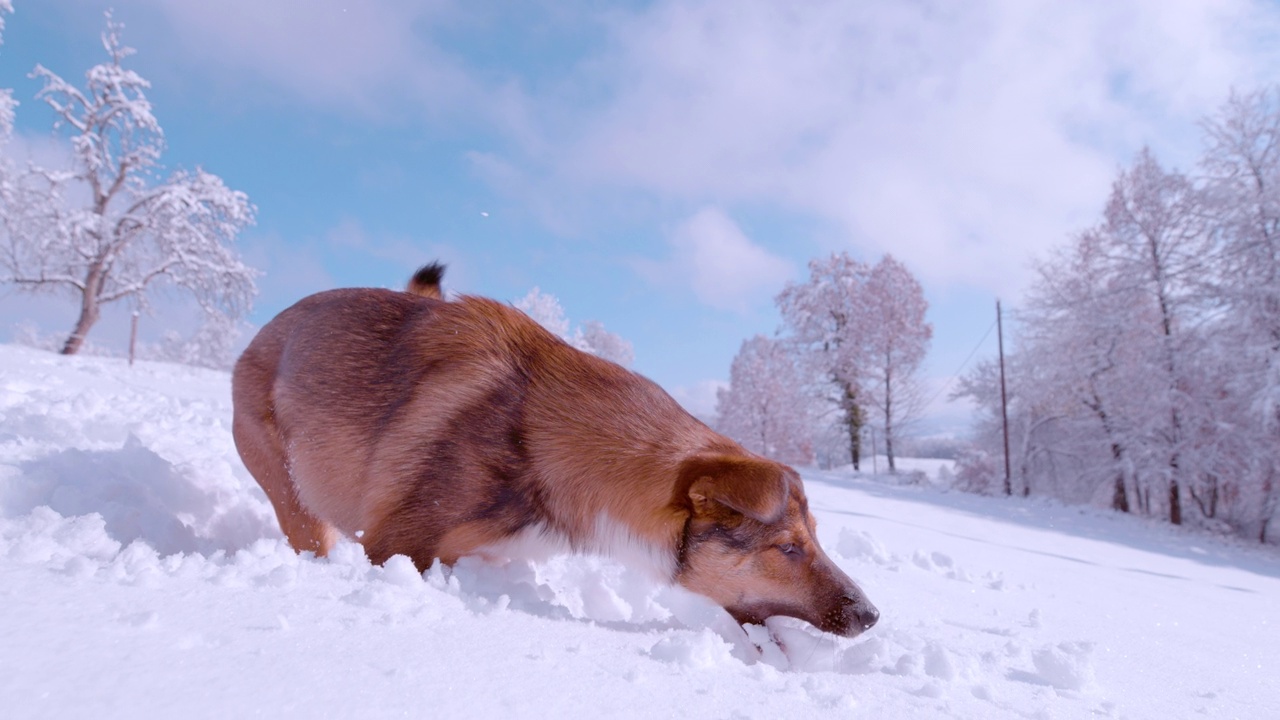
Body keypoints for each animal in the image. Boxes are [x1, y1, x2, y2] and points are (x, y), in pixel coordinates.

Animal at [232, 263, 880, 632]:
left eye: (814, 538)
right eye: (788, 548)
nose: (872, 616)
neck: (546, 444)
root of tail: (267, 330)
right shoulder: (394, 547)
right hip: (294, 496)